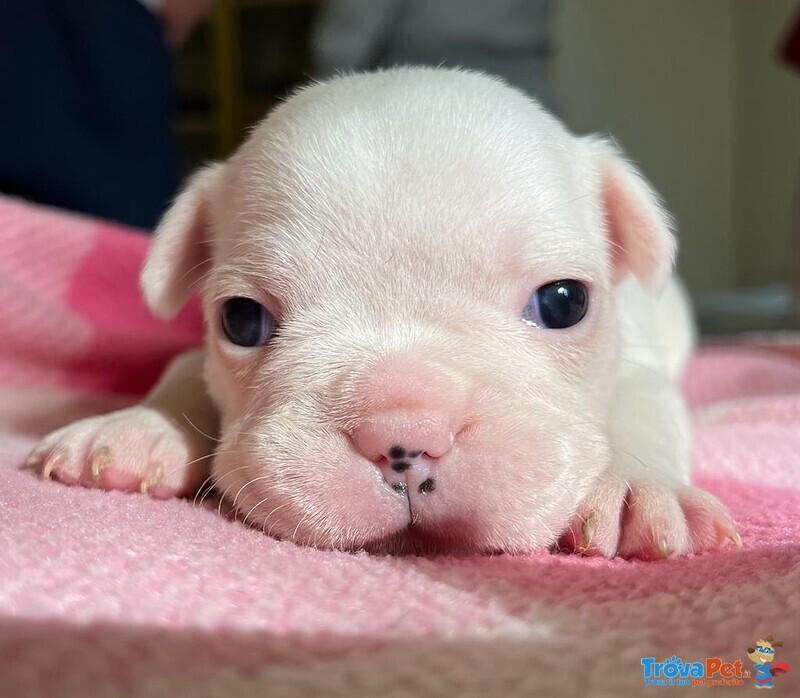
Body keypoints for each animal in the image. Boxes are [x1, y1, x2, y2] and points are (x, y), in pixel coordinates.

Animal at [25, 66, 736, 556]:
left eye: (565, 302)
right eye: (241, 320)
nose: (405, 437)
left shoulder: (639, 368)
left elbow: (642, 409)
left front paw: (634, 487)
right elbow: (180, 368)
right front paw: (133, 427)